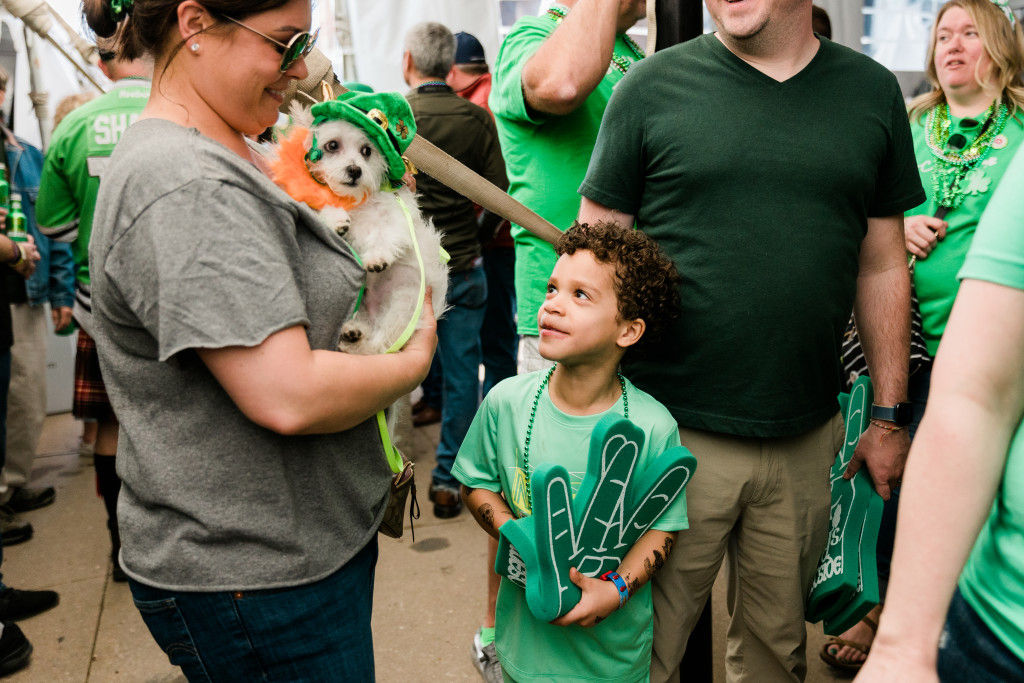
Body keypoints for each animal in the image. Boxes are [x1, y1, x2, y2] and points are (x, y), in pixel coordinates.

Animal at [280, 105, 448, 358]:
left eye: (367, 151)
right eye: (332, 145)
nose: (355, 170)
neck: (355, 201)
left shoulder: (396, 216)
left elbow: (385, 234)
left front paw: (377, 258)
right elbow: (323, 206)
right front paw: (336, 219)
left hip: (403, 299)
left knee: (379, 345)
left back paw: (356, 339)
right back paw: (352, 335)